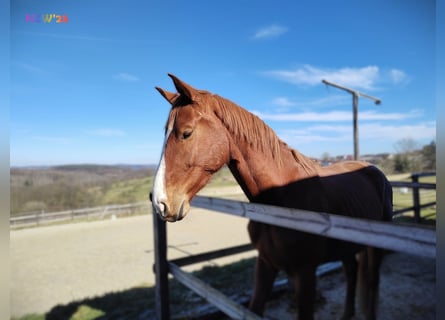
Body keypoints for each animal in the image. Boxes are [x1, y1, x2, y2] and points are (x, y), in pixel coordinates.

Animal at [152, 74, 392, 320]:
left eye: (186, 133)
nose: (160, 202)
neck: (281, 202)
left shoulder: (305, 273)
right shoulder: (265, 264)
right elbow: (254, 308)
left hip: (375, 248)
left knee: (372, 282)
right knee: (352, 271)